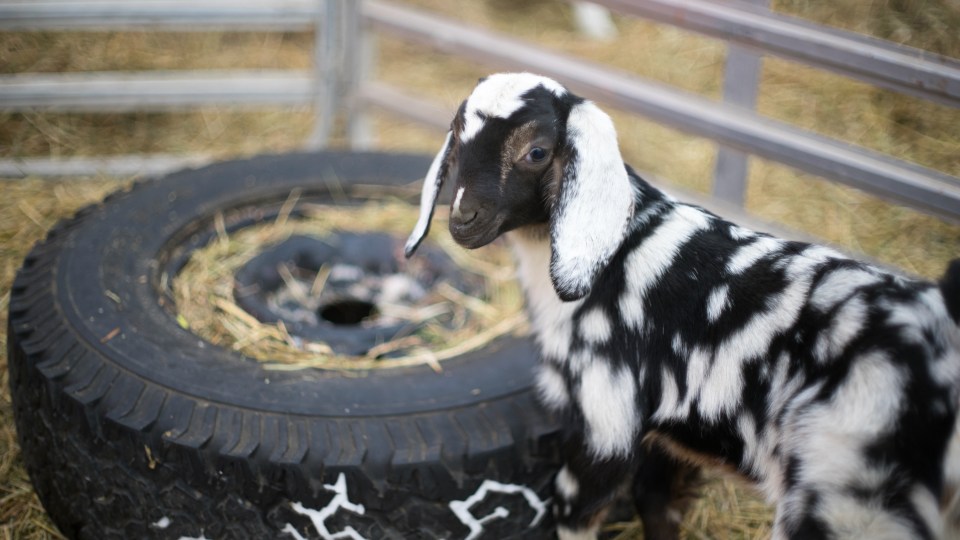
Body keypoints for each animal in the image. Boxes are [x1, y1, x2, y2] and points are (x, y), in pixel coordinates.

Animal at [404, 72, 960, 540]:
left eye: (537, 151)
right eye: (455, 135)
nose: (462, 219)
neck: (612, 253)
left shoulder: (606, 419)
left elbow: (575, 512)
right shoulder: (666, 439)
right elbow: (658, 508)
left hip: (848, 498)